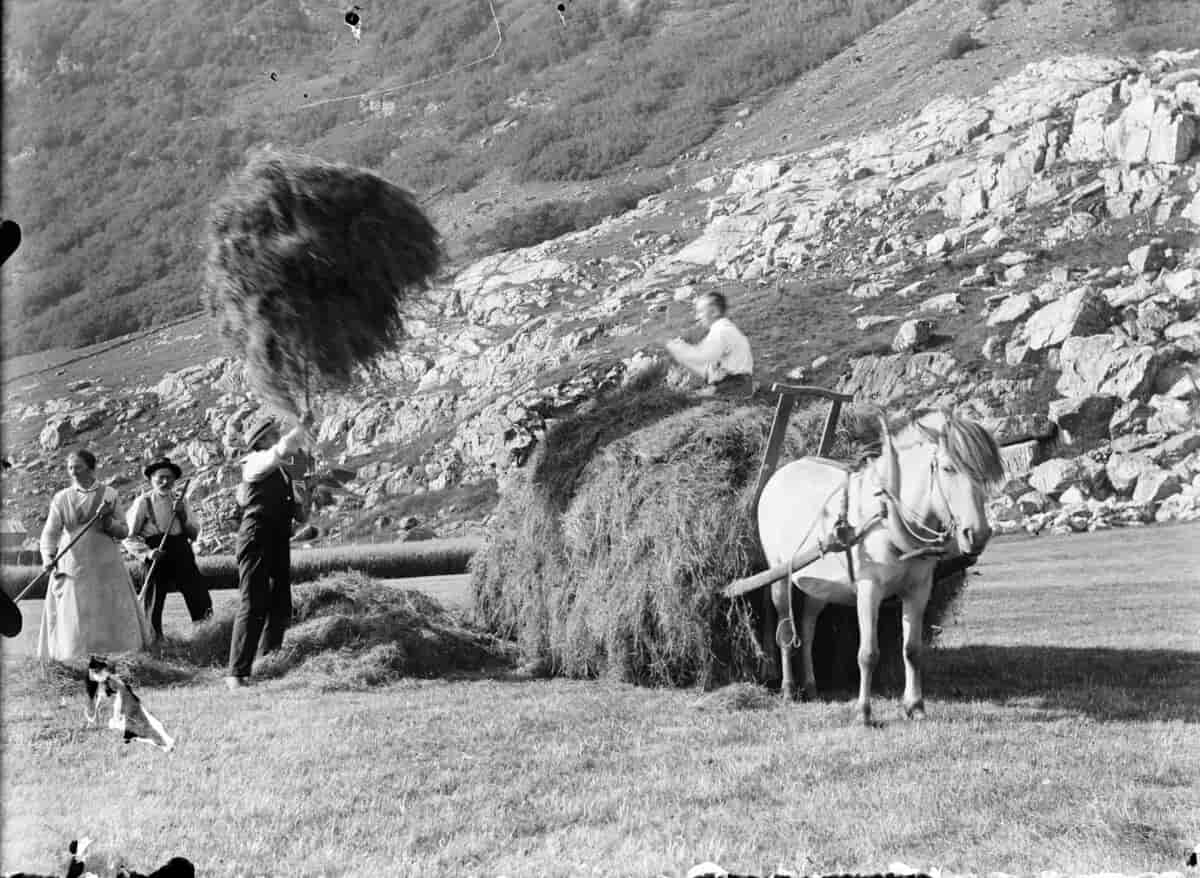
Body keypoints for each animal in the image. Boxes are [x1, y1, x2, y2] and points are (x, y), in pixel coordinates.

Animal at [758, 407, 1003, 724]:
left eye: (986, 475)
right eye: (948, 468)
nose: (978, 534)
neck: (888, 517)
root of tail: (780, 473)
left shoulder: (918, 589)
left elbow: (912, 650)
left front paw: (915, 706)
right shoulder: (869, 589)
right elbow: (867, 654)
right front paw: (864, 712)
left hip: (819, 586)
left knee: (808, 627)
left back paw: (811, 685)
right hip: (779, 575)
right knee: (787, 630)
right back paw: (788, 689)